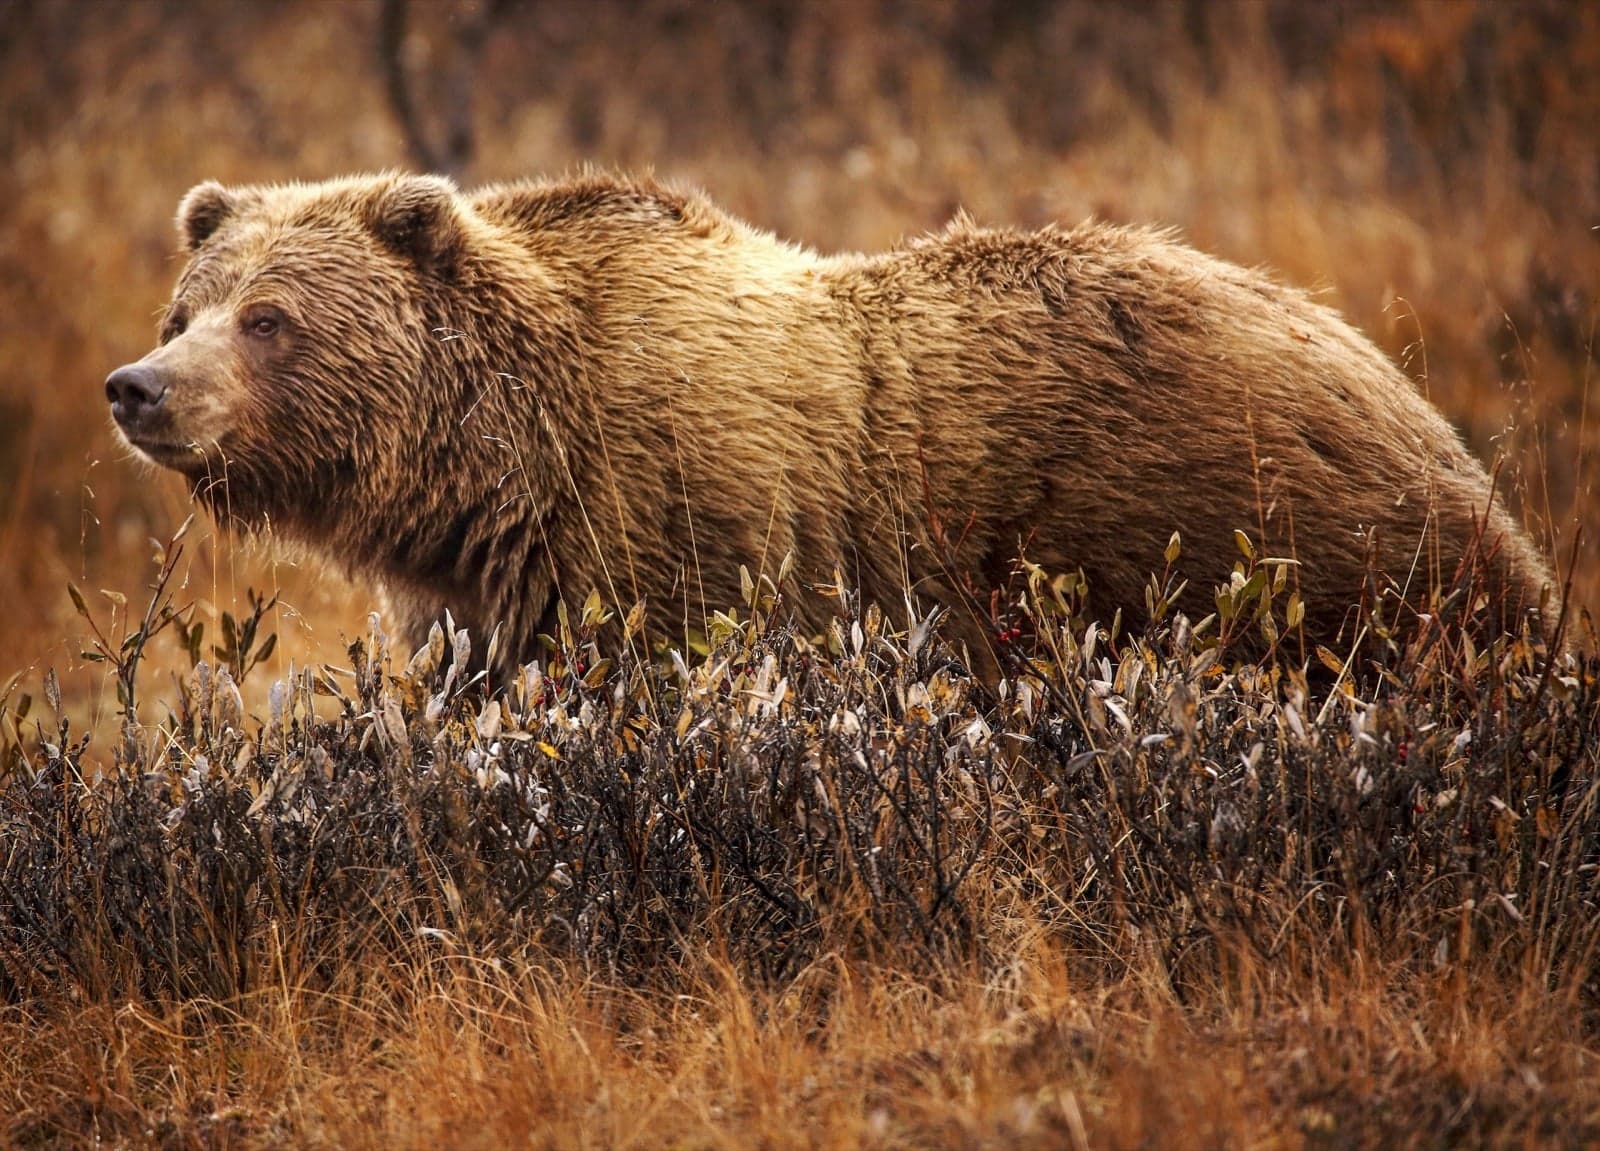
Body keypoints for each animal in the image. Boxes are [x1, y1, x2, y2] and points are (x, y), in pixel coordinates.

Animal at [105, 171, 1556, 676]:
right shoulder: (493, 591)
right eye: (188, 303)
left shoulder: (681, 532)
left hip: (1267, 542)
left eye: (271, 318)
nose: (139, 385)